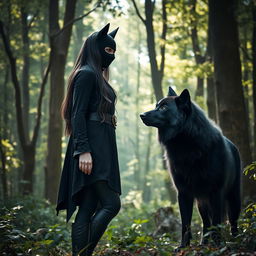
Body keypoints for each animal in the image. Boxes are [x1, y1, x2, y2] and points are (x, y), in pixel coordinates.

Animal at [140, 87, 242, 247]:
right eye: (156, 105)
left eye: (164, 108)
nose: (142, 115)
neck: (186, 146)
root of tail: (234, 146)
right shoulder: (183, 193)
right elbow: (185, 224)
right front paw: (183, 247)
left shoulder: (216, 192)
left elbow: (217, 221)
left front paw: (218, 246)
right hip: (201, 203)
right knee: (206, 223)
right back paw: (203, 244)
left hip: (233, 198)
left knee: (232, 221)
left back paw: (234, 240)